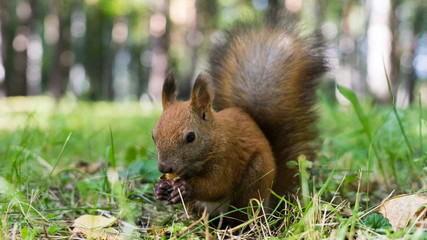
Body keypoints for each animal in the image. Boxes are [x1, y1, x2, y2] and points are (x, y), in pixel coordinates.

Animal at [153, 20, 328, 223]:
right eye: (153, 136)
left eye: (191, 137)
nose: (163, 167)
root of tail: (270, 200)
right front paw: (159, 189)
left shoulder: (229, 155)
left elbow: (217, 184)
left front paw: (185, 188)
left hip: (254, 182)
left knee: (242, 215)